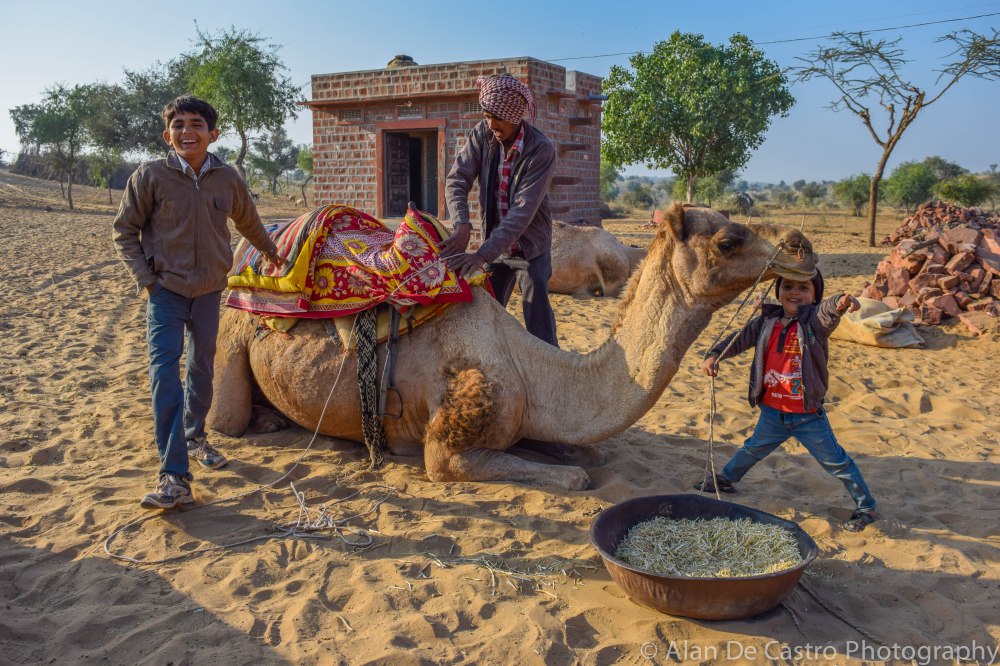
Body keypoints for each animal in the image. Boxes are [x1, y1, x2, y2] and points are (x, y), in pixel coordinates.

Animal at [209, 203, 816, 489]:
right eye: (729, 239)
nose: (801, 247)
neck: (532, 370)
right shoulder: (448, 446)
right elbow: (575, 476)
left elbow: (589, 454)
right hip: (230, 337)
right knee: (224, 419)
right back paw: (259, 421)